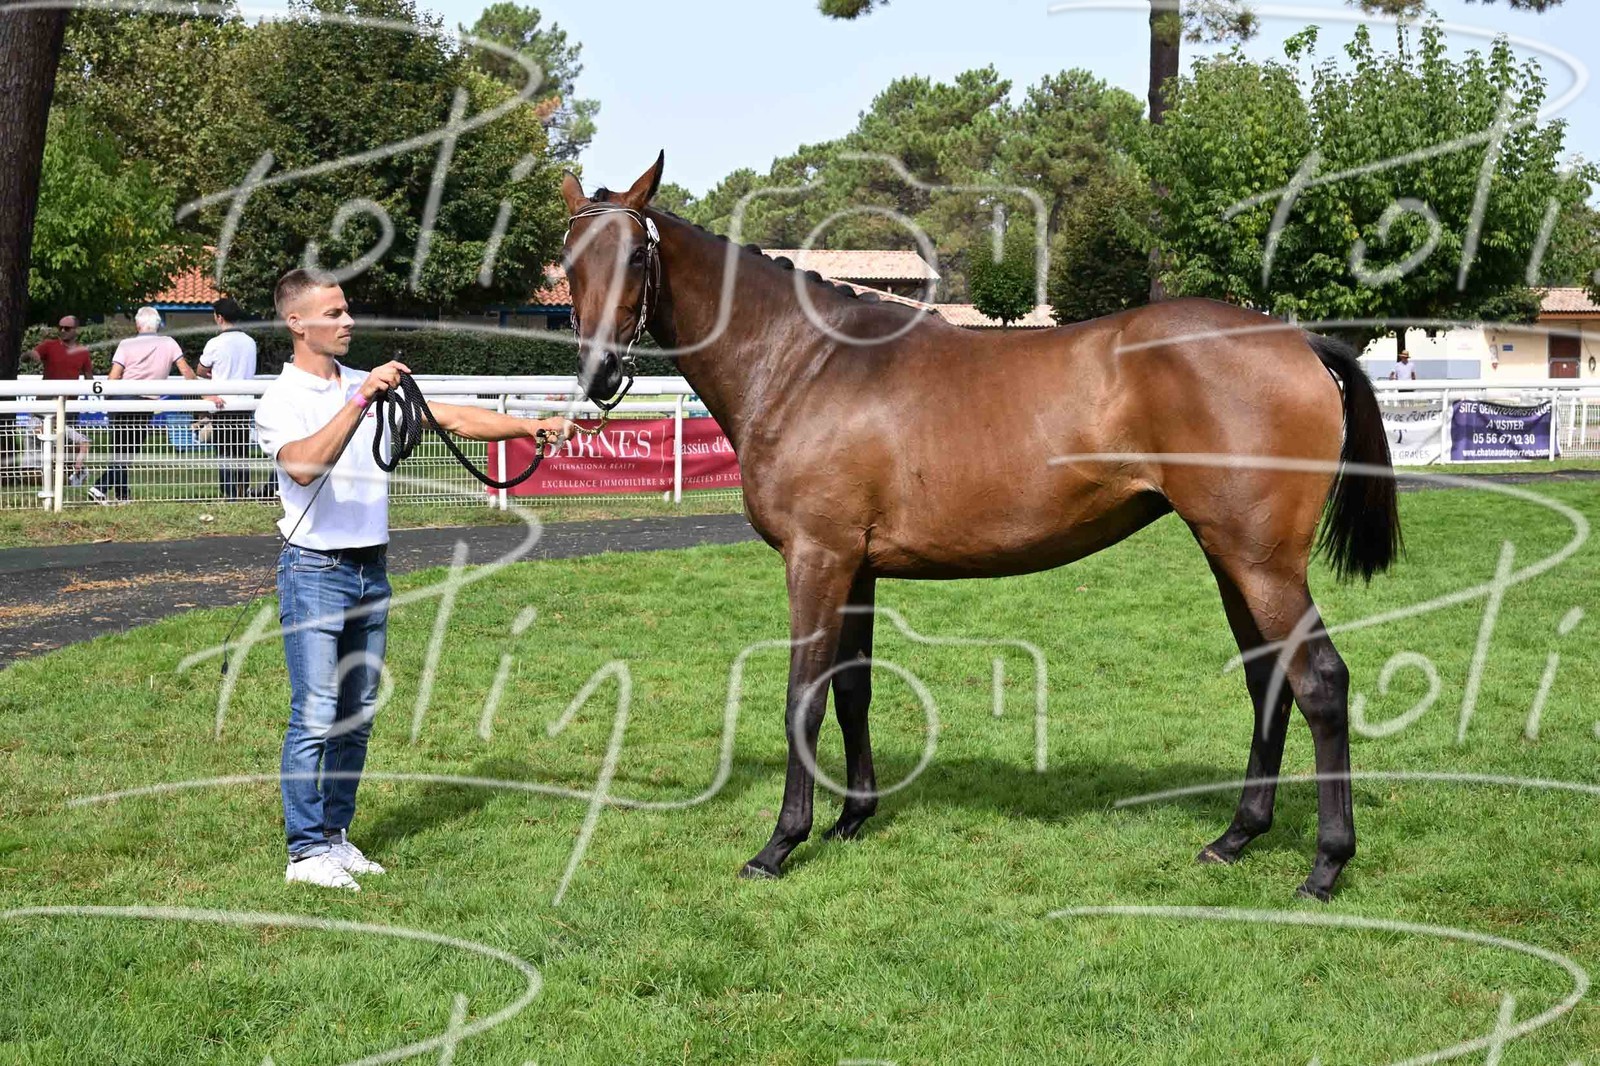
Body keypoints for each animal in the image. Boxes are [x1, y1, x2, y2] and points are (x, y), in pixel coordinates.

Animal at [558, 153, 1400, 901]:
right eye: (568, 262)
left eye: (636, 254)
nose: (599, 374)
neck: (808, 363)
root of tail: (1297, 340)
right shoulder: (856, 567)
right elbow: (854, 688)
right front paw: (851, 819)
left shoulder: (816, 559)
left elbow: (805, 695)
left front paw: (780, 844)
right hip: (1230, 557)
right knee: (1269, 681)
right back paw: (1236, 836)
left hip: (1262, 563)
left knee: (1320, 682)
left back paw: (1326, 865)